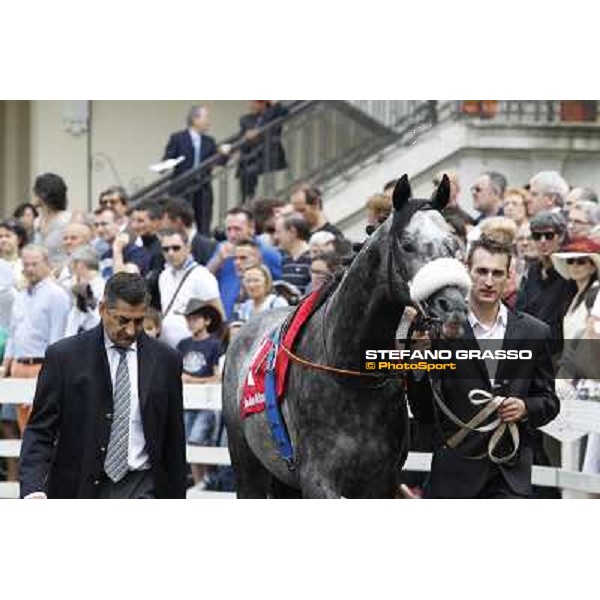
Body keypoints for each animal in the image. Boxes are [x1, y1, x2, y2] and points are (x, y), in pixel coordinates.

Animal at [221, 173, 468, 496]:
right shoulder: (318, 479)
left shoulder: (381, 481)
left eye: (453, 244)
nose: (452, 304)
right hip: (248, 468)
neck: (350, 372)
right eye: (407, 244)